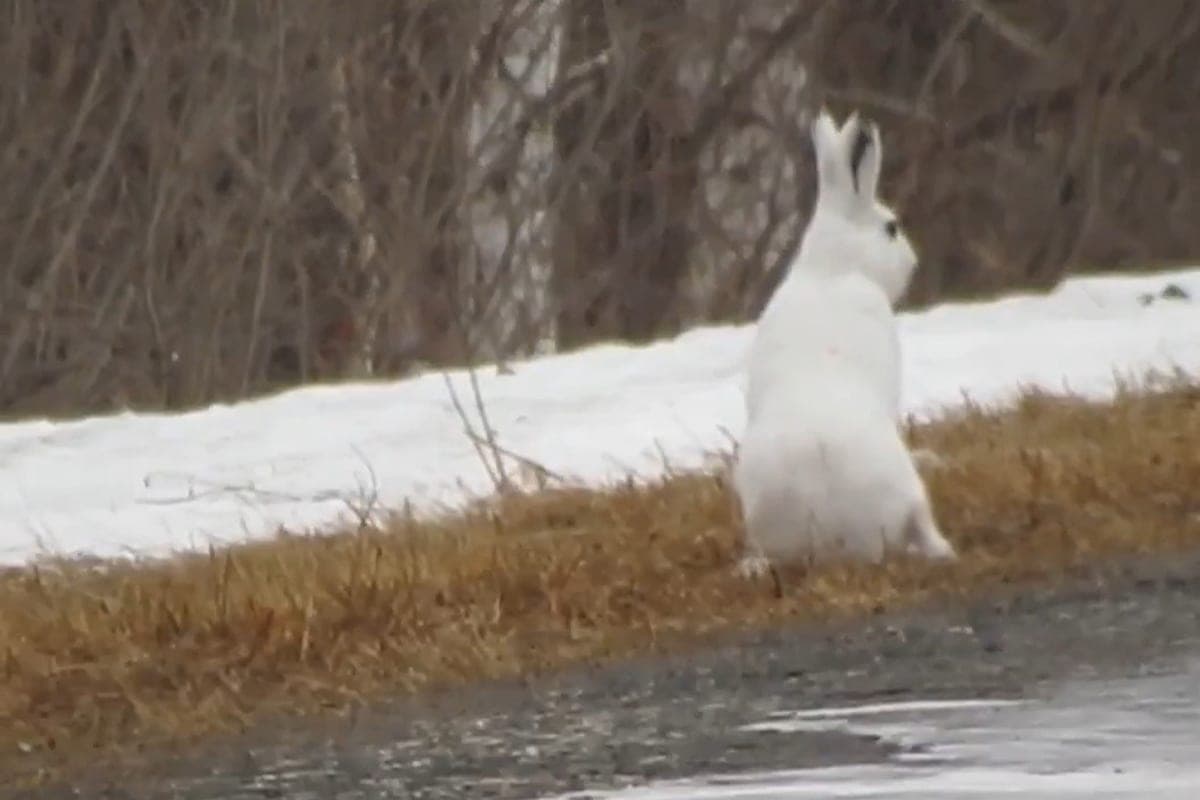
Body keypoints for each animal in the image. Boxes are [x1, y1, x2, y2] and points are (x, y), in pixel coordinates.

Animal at [734, 109, 956, 576]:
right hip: (908, 490)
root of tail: (830, 533)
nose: (913, 262)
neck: (832, 267)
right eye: (891, 228)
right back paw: (943, 549)